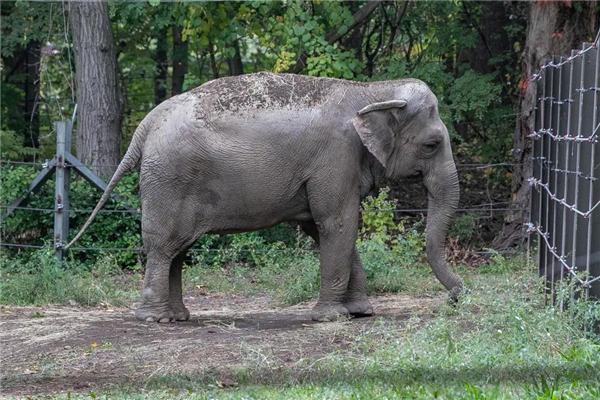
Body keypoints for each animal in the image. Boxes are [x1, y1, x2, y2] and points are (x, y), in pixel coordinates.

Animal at [68, 71, 466, 322]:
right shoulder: (334, 158)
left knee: (177, 250)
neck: (372, 91)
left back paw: (177, 317)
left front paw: (360, 312)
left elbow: (326, 228)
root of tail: (146, 124)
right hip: (168, 179)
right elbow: (337, 223)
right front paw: (332, 318)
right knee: (164, 246)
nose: (458, 296)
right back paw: (154, 320)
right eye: (432, 145)